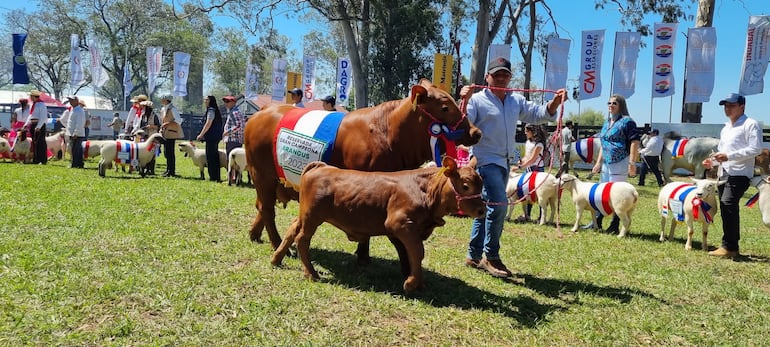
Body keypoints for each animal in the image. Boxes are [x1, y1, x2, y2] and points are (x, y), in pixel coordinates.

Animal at [244, 78, 480, 264]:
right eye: (445, 107)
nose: (476, 132)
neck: (388, 133)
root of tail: (264, 111)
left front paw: (364, 255)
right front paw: (363, 255)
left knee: (261, 206)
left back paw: (255, 235)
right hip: (261, 173)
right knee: (266, 209)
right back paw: (277, 245)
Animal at [272, 158, 484, 294]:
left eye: (481, 185)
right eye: (465, 185)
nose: (482, 210)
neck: (424, 190)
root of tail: (321, 166)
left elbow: (408, 253)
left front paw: (416, 280)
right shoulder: (399, 223)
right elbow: (417, 251)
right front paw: (411, 283)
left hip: (305, 215)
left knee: (292, 229)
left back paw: (276, 259)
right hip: (312, 216)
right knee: (302, 239)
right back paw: (311, 273)